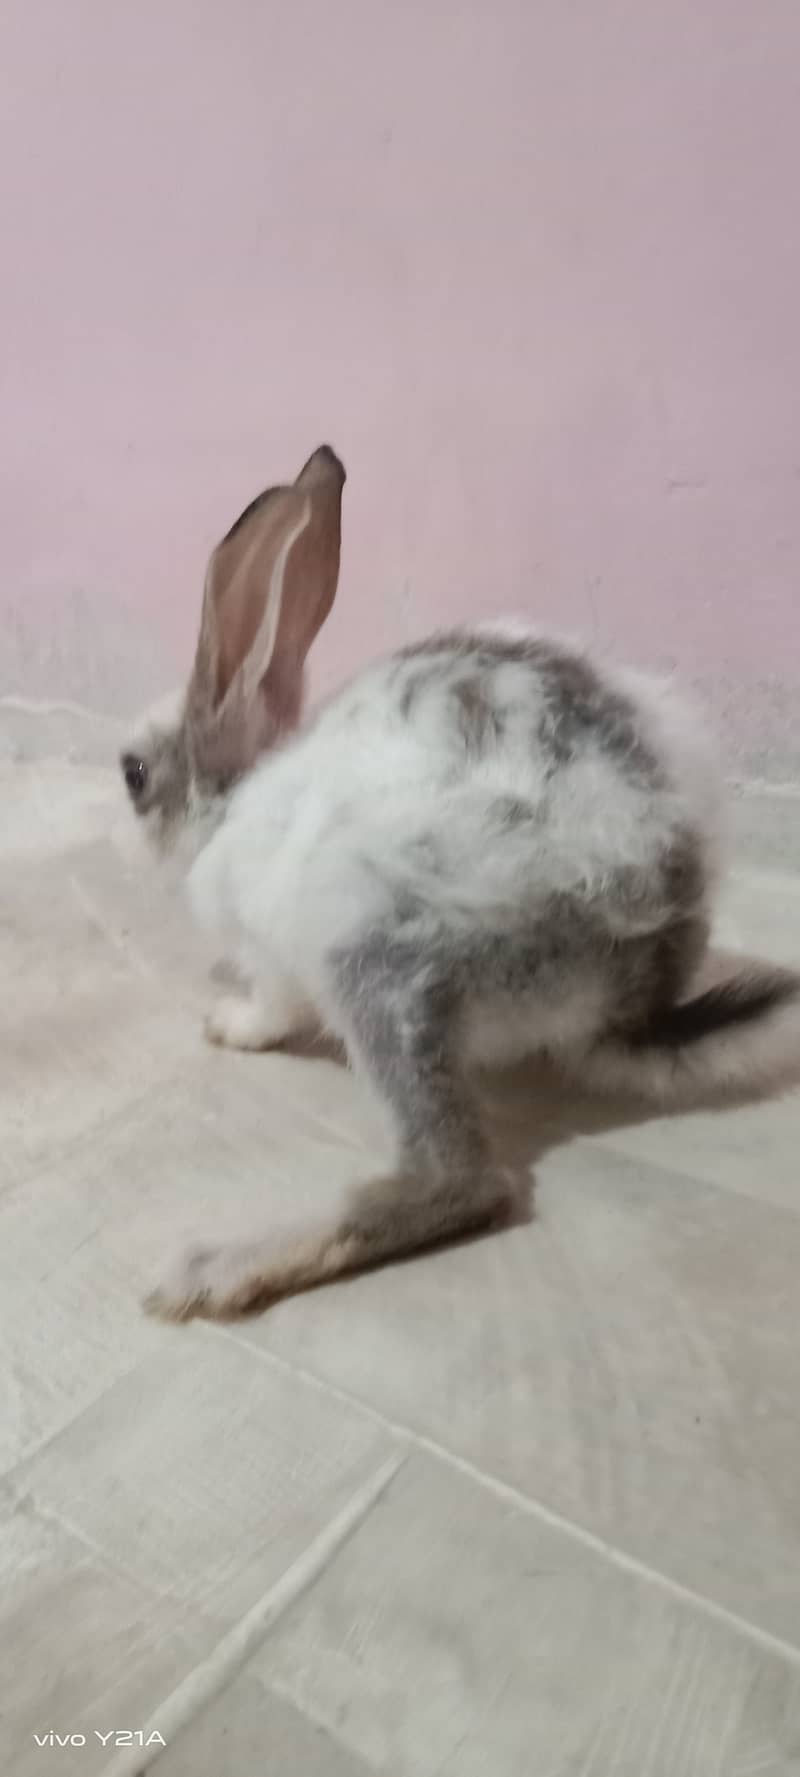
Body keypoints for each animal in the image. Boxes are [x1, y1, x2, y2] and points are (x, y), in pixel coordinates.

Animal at [121, 443, 800, 1322]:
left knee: (461, 1181)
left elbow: (271, 1007)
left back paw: (215, 1268)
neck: (236, 796)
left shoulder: (277, 955)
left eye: (135, 774)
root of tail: (632, 997)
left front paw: (228, 1025)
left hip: (376, 964)